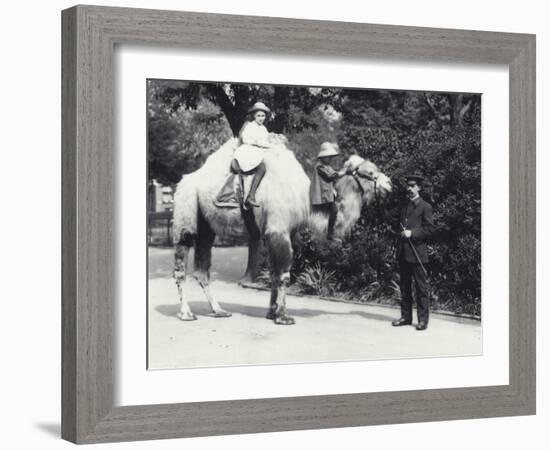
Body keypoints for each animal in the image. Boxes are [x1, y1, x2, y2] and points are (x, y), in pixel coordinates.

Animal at [172, 135, 392, 326]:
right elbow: (284, 275)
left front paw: (272, 313)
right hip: (186, 209)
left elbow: (274, 274)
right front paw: (283, 316)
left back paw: (219, 310)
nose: (389, 184)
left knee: (202, 270)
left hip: (206, 227)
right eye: (369, 172)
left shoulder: (283, 234)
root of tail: (184, 181)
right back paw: (186, 313)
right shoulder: (278, 231)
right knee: (181, 262)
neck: (305, 200)